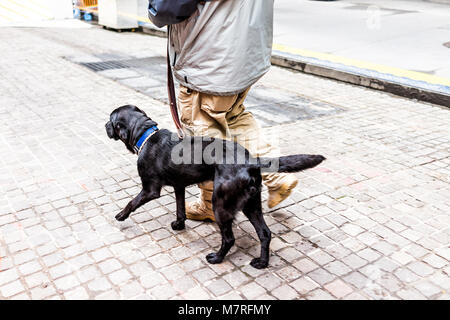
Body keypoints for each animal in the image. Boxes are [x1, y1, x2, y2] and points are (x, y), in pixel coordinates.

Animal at [105, 104, 324, 268]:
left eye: (111, 120)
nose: (105, 125)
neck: (146, 136)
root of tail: (251, 161)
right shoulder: (179, 186)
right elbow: (180, 209)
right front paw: (179, 225)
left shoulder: (150, 190)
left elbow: (132, 202)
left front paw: (121, 215)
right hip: (251, 205)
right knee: (265, 233)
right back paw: (262, 263)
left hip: (221, 204)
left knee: (229, 239)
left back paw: (217, 258)